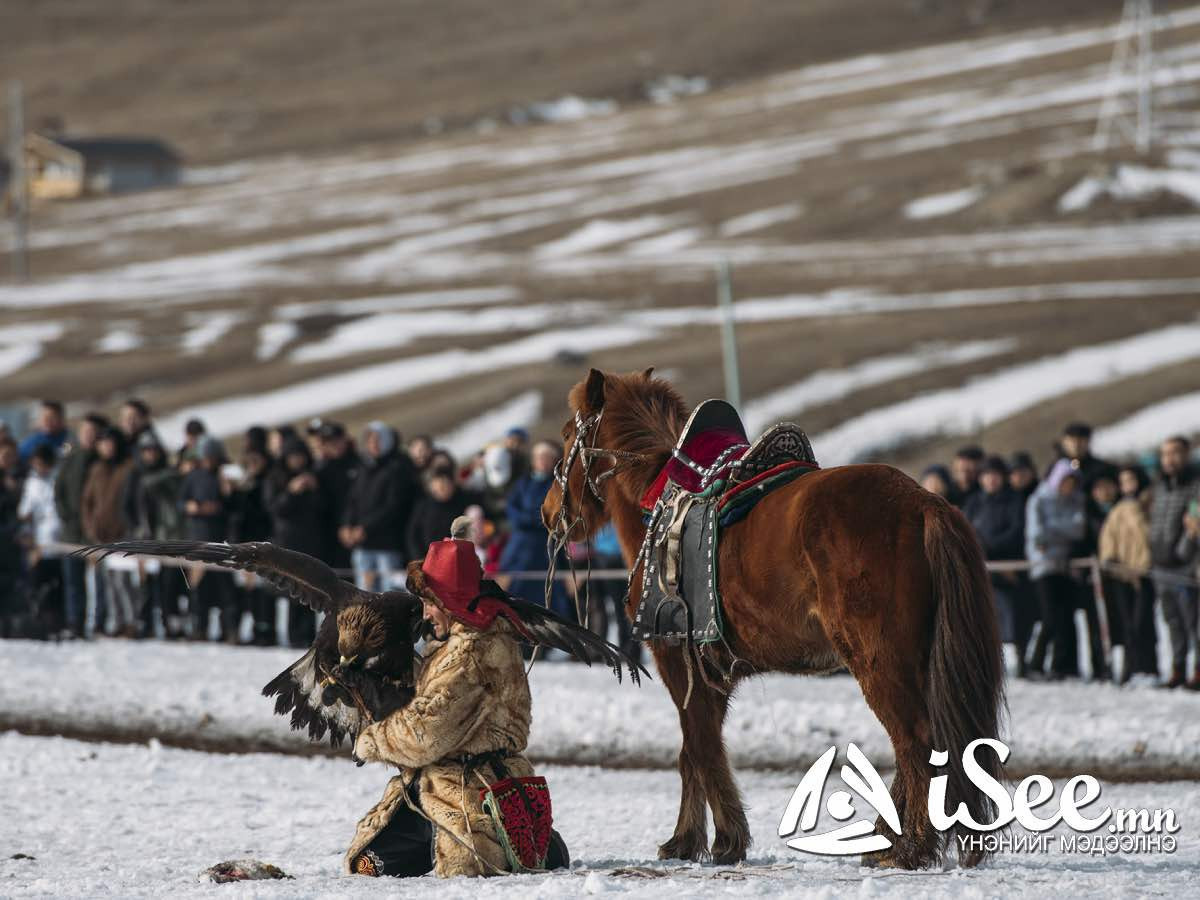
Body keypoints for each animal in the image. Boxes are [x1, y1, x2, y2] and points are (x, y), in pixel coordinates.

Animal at [542, 369, 1003, 868]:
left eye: (566, 435)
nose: (548, 511)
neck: (658, 498)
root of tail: (921, 502)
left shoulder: (674, 659)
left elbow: (698, 747)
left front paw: (718, 839)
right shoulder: (712, 674)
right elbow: (696, 749)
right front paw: (696, 838)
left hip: (879, 661)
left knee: (915, 742)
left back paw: (907, 847)